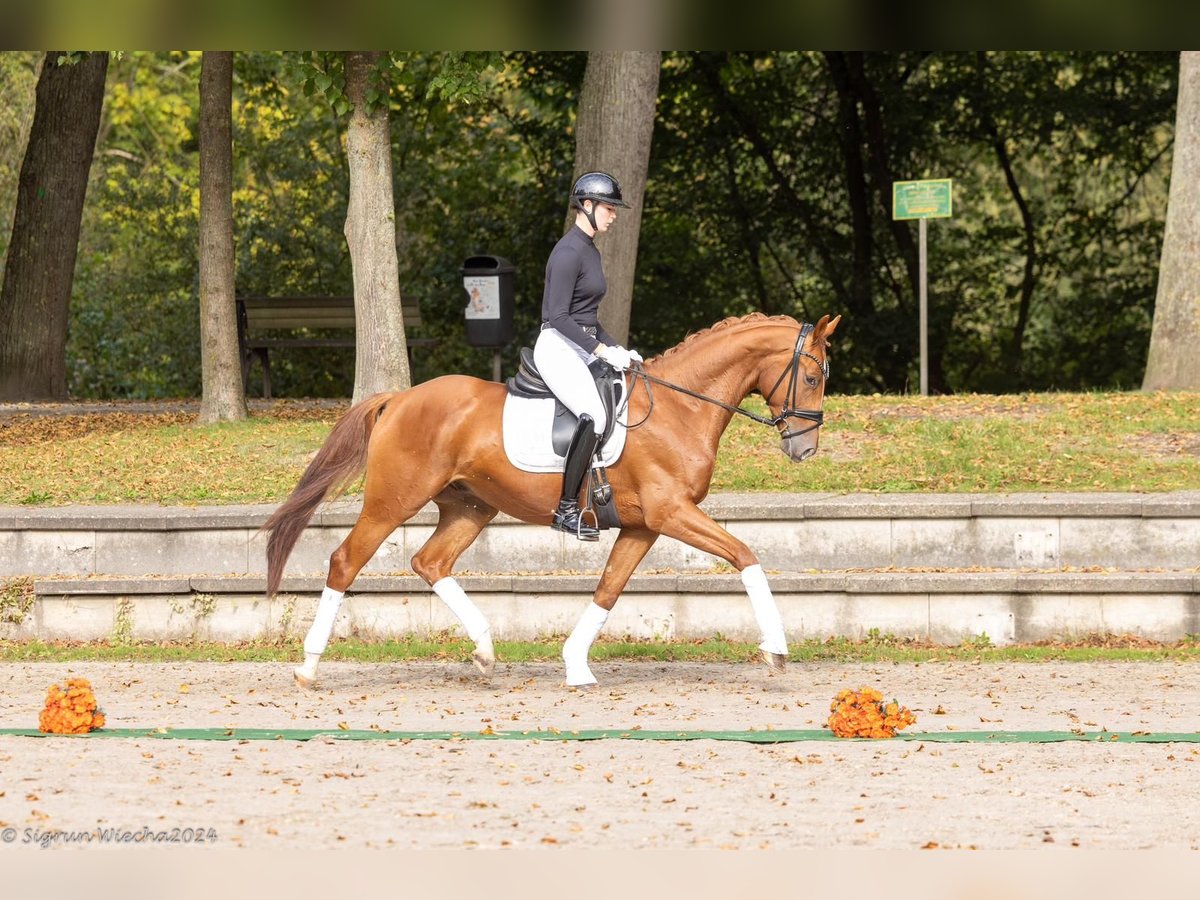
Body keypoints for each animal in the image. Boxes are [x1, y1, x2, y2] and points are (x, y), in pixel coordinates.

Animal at [266, 314, 840, 686]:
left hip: (471, 508)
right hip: (394, 502)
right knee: (345, 561)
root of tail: (399, 398)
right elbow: (746, 555)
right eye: (812, 377)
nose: (804, 449)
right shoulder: (671, 513)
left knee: (430, 562)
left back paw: (484, 650)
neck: (679, 408)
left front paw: (576, 665)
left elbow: (609, 590)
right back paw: (308, 666)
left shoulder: (644, 525)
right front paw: (776, 650)